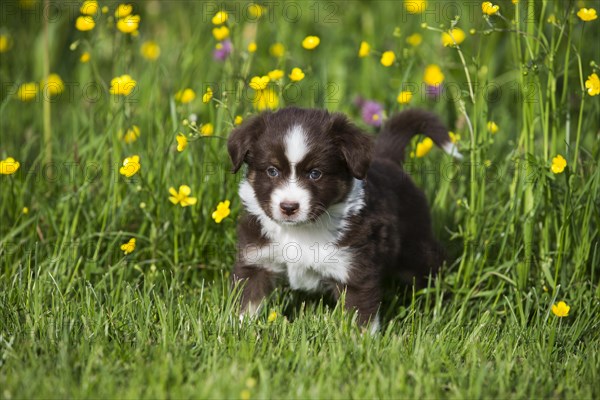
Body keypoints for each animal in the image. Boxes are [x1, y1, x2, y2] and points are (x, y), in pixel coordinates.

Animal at [226, 108, 460, 330]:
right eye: (272, 171)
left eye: (315, 173)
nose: (289, 207)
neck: (301, 230)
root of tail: (388, 160)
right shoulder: (257, 259)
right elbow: (246, 301)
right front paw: (238, 329)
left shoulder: (354, 268)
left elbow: (361, 317)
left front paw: (360, 343)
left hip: (414, 246)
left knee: (433, 265)